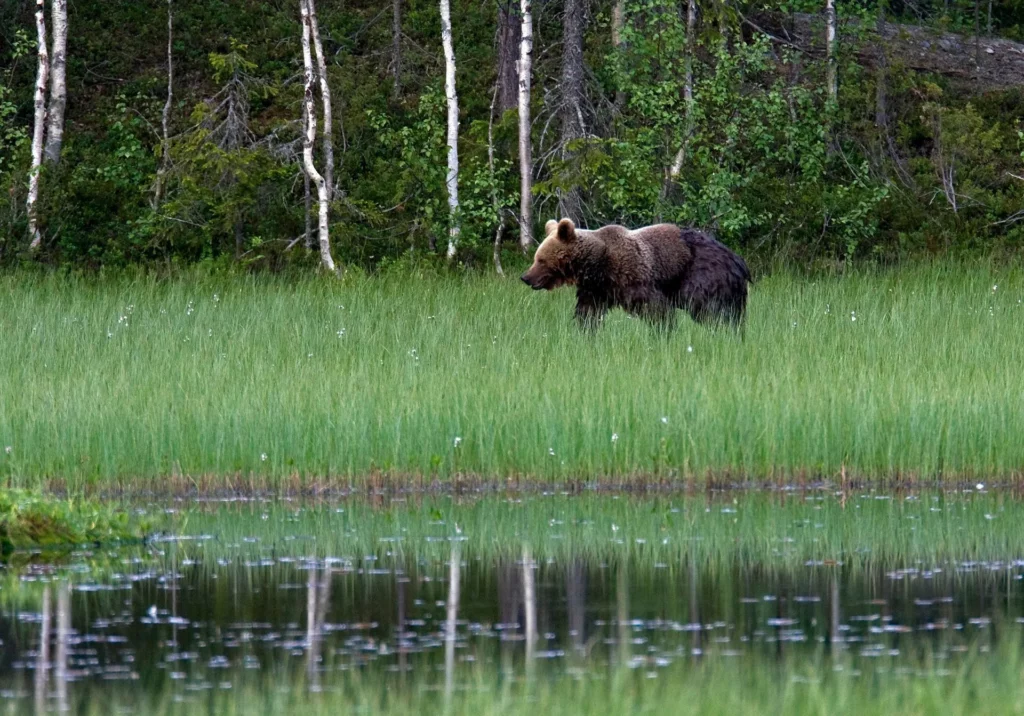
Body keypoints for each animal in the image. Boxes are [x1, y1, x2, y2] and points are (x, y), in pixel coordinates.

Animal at [520, 218, 753, 329]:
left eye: (541, 260)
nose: (525, 277)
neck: (598, 265)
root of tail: (738, 260)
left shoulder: (634, 277)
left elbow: (656, 309)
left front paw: (663, 331)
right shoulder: (596, 288)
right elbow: (588, 312)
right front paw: (585, 332)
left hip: (704, 276)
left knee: (711, 310)